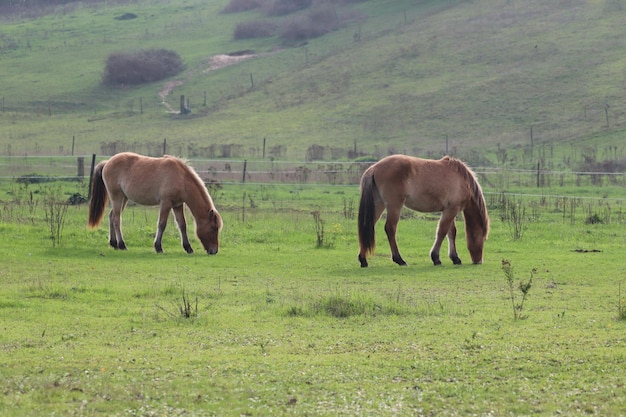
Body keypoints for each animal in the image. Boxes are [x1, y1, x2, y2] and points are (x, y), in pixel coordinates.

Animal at [88, 152, 222, 254]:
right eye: (213, 229)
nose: (214, 251)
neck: (181, 178)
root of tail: (107, 162)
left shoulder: (177, 205)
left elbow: (182, 225)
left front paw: (188, 248)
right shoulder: (166, 203)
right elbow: (162, 224)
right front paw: (158, 247)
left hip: (124, 198)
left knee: (111, 216)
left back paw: (114, 244)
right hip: (117, 197)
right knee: (116, 219)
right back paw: (122, 245)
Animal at [356, 155, 488, 266]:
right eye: (482, 238)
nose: (479, 261)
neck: (462, 179)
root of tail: (374, 168)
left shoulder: (449, 210)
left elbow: (451, 232)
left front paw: (455, 258)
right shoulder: (452, 210)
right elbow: (442, 231)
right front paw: (436, 258)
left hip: (379, 204)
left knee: (368, 226)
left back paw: (363, 260)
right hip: (394, 206)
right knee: (390, 228)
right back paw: (399, 259)